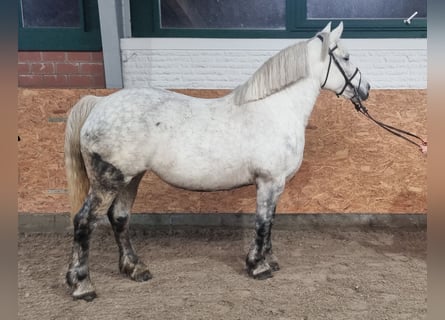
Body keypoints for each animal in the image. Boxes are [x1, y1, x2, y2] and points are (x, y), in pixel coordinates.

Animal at [62, 22, 368, 300]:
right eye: (346, 57)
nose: (365, 89)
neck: (275, 110)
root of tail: (99, 104)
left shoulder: (275, 184)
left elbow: (269, 222)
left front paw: (268, 260)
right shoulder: (269, 182)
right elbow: (263, 223)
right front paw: (258, 267)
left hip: (131, 178)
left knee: (119, 217)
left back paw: (135, 268)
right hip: (108, 181)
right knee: (84, 222)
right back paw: (82, 285)